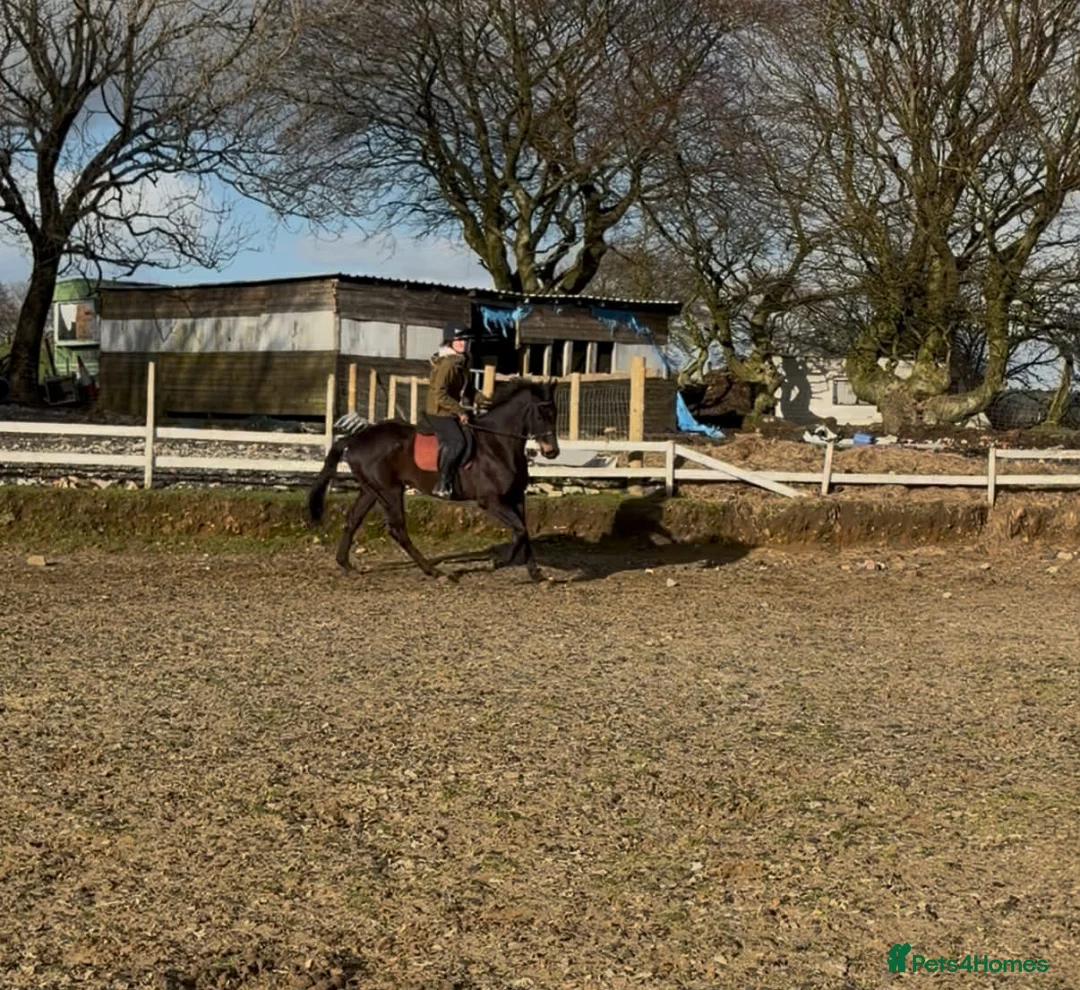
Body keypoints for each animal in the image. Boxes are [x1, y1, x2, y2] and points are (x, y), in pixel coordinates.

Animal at [306, 380, 560, 580]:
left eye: (555, 414)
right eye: (540, 415)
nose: (552, 452)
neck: (498, 444)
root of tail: (355, 438)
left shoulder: (516, 497)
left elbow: (524, 531)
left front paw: (536, 574)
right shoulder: (491, 501)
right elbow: (519, 530)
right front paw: (499, 562)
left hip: (371, 490)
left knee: (352, 520)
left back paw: (346, 564)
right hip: (390, 490)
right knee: (398, 530)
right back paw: (434, 572)